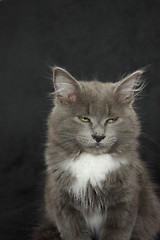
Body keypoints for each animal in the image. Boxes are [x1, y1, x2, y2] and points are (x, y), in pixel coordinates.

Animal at [33, 67, 159, 240]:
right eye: (84, 118)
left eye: (111, 120)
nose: (98, 136)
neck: (92, 161)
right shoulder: (63, 202)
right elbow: (74, 233)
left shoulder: (125, 200)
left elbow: (117, 232)